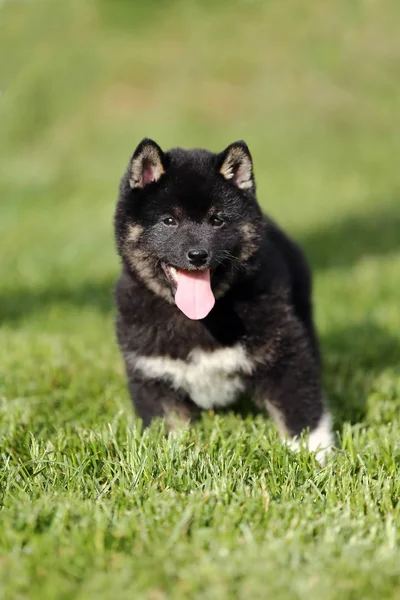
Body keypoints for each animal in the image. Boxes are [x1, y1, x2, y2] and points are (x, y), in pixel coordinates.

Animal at [114, 138, 332, 462]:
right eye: (169, 220)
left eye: (216, 220)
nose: (197, 255)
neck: (200, 319)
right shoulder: (152, 374)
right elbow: (169, 427)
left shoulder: (284, 354)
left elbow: (302, 414)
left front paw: (315, 457)